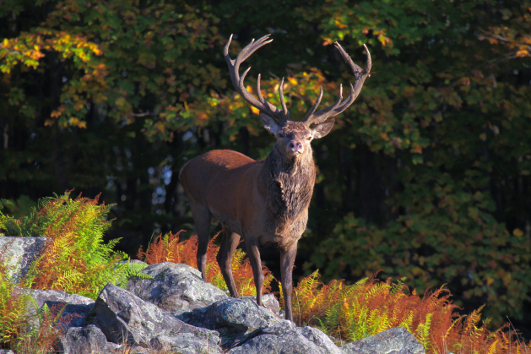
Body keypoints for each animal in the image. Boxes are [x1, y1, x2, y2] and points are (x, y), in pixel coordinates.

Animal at [179, 34, 370, 322]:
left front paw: (289, 320)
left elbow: (288, 284)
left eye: (309, 137)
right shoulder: (252, 232)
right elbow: (259, 276)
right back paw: (207, 287)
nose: (296, 145)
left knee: (223, 258)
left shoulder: (292, 240)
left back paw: (234, 296)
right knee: (201, 253)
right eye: (281, 134)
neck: (281, 217)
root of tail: (185, 166)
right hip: (198, 205)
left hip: (230, 225)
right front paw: (258, 310)